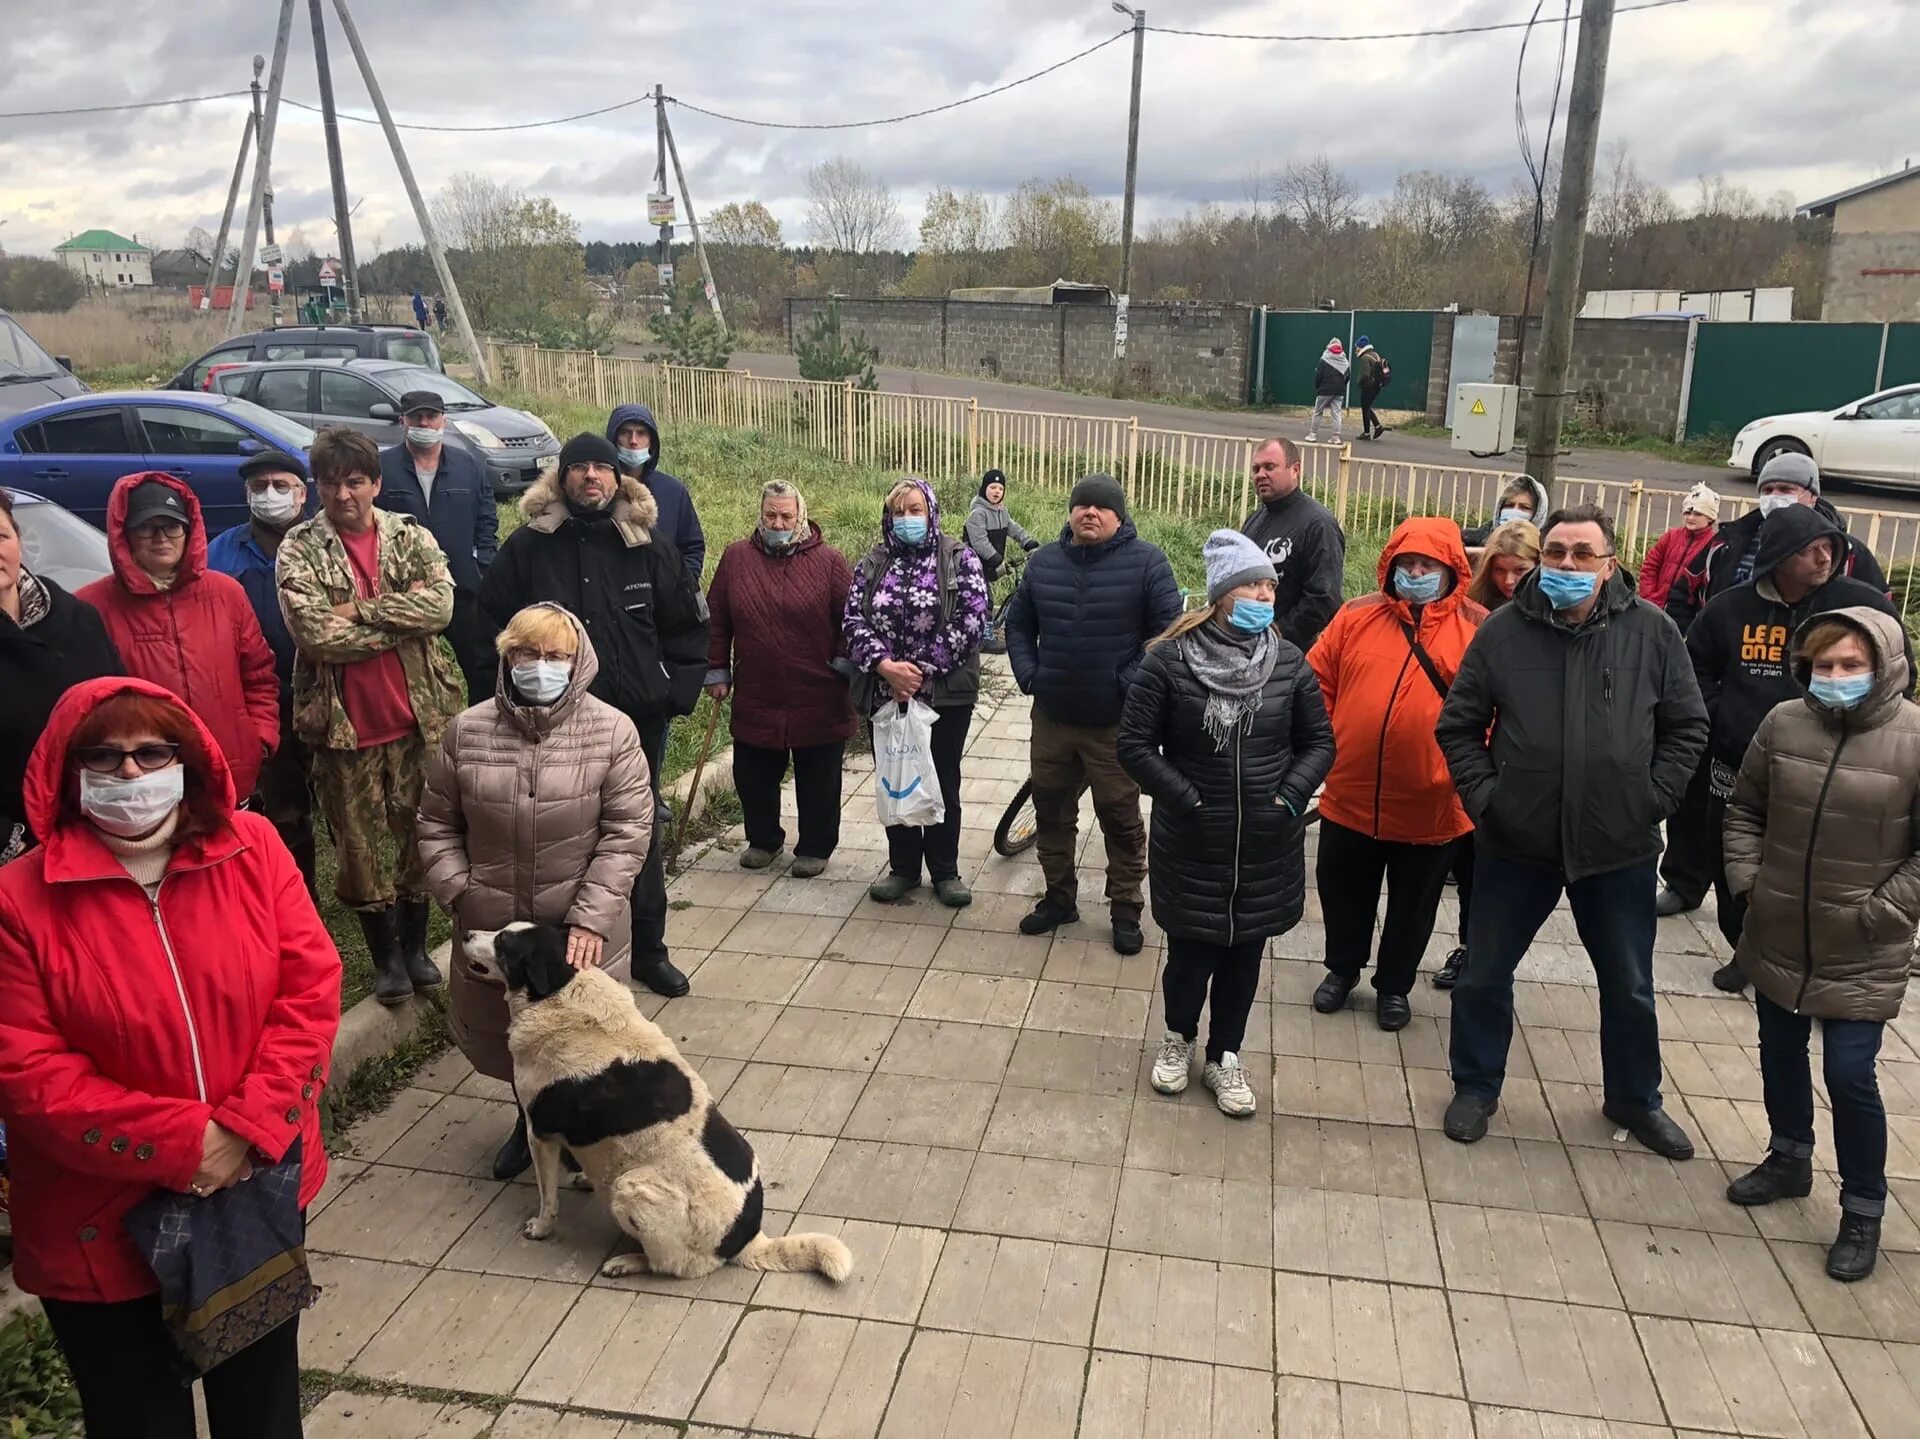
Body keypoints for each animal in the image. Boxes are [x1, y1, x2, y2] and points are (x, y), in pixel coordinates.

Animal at [460, 922, 852, 1283]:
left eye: (502, 943)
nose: (464, 933)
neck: (561, 989)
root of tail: (745, 1239)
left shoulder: (539, 1132)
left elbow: (548, 1199)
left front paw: (541, 1228)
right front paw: (581, 1176)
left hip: (631, 1188)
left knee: (674, 1265)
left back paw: (628, 1262)